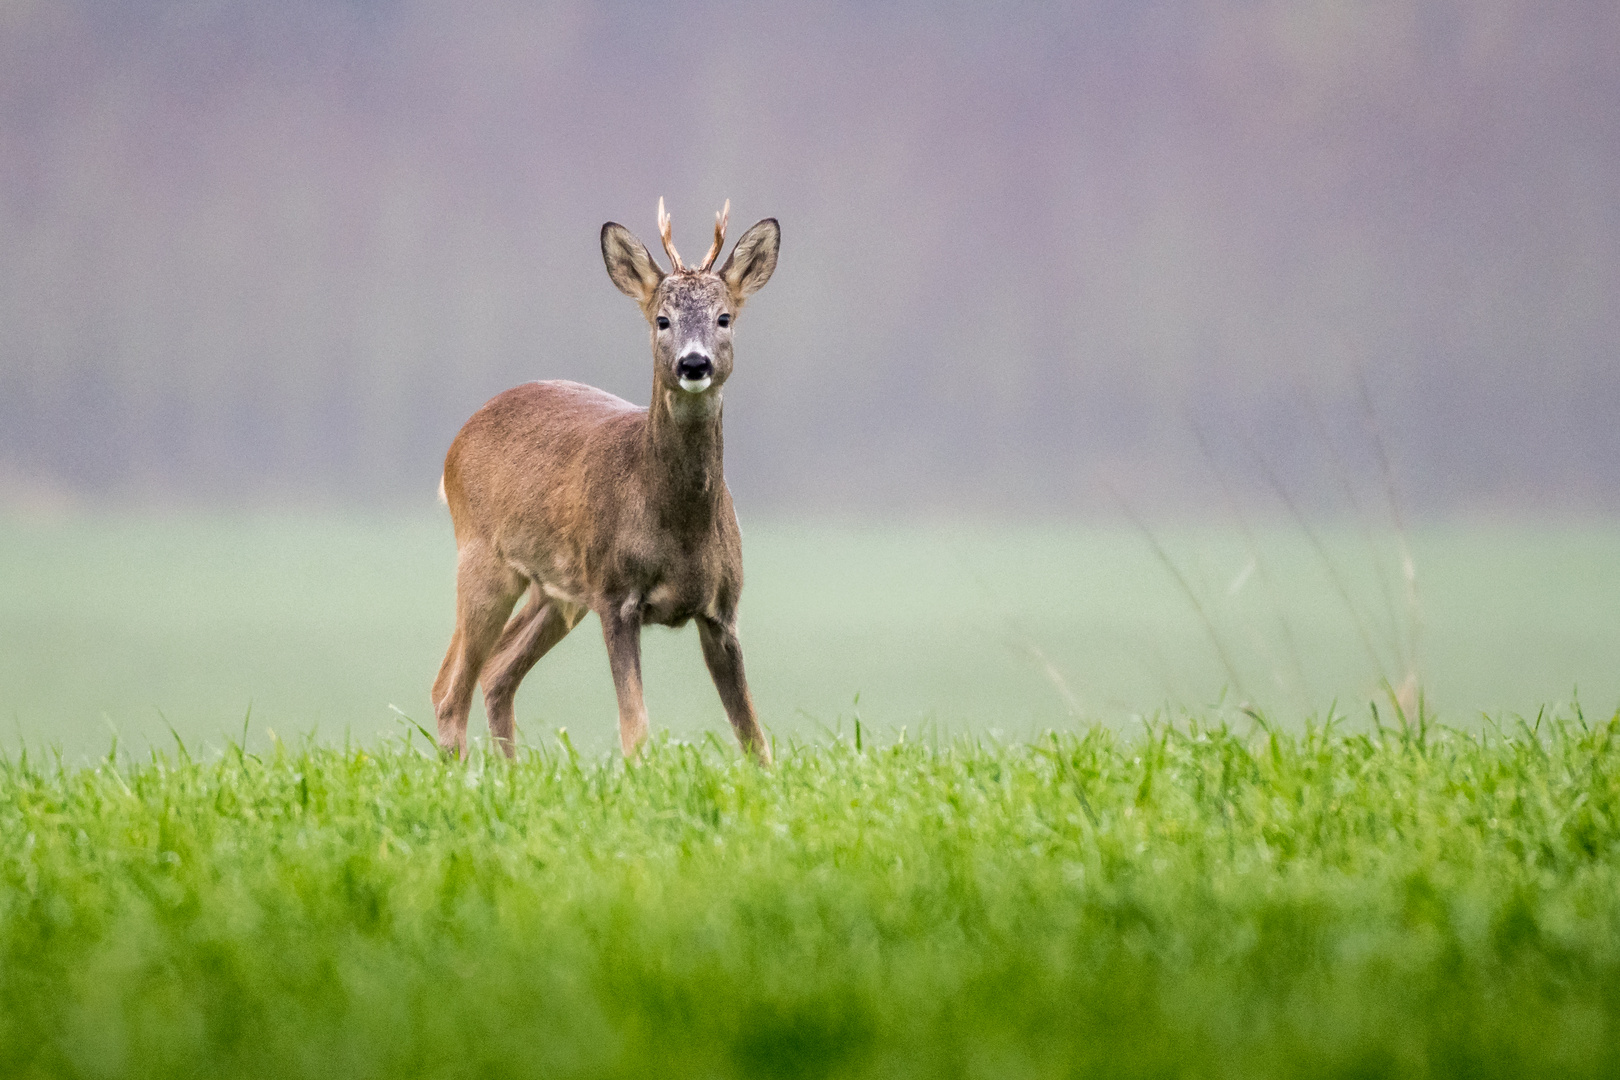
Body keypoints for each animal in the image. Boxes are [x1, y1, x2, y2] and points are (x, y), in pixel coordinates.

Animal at [434, 198, 780, 764]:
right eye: (662, 319)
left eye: (724, 317)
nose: (694, 363)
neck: (678, 526)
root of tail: (456, 442)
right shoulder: (616, 595)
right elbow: (634, 725)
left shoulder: (723, 610)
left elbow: (753, 734)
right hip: (484, 560)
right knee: (449, 690)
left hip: (558, 590)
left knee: (496, 670)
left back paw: (511, 771)